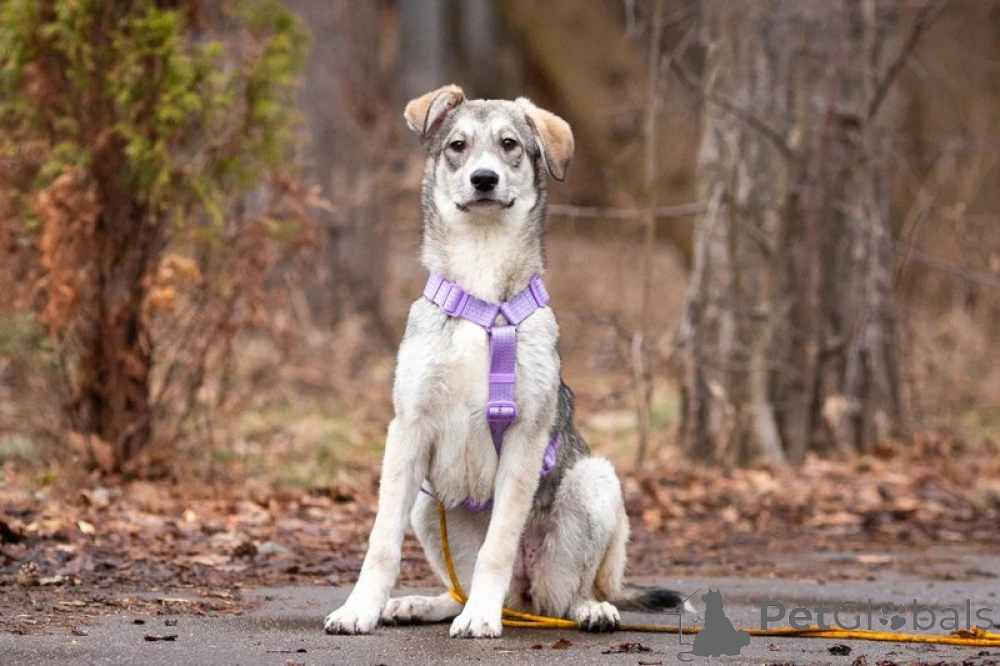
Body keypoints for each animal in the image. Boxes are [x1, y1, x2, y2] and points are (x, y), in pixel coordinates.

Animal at [323, 85, 689, 638]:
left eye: (510, 144)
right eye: (457, 145)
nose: (484, 179)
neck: (481, 290)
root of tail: (520, 597)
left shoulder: (525, 437)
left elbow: (498, 545)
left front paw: (480, 618)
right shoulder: (408, 428)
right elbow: (381, 542)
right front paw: (359, 608)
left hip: (593, 484)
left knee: (559, 599)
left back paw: (587, 609)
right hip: (428, 505)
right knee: (463, 588)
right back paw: (426, 604)